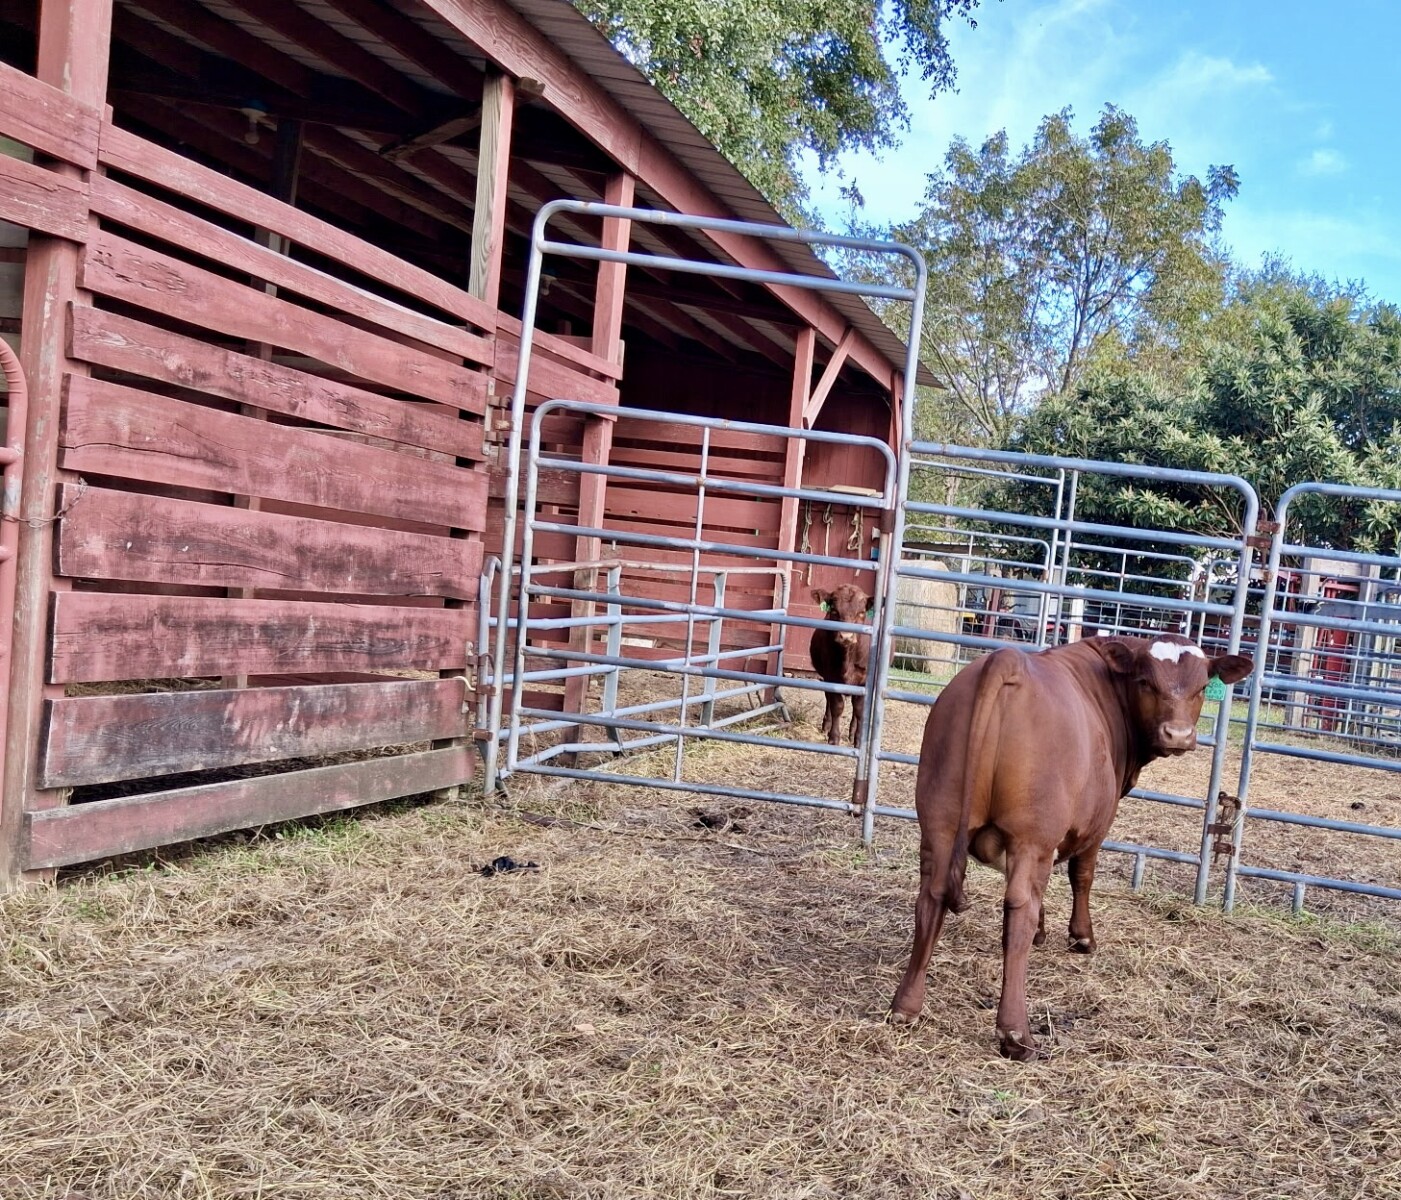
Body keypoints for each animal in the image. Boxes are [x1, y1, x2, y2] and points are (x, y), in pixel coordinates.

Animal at [808, 583, 874, 746]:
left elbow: (860, 710)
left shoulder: (864, 679)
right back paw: (826, 725)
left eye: (862, 612)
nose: (846, 636)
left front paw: (858, 739)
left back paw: (851, 732)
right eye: (834, 610)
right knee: (828, 699)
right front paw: (833, 737)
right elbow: (837, 706)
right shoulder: (831, 676)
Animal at [888, 632, 1254, 1060]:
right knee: (1019, 908)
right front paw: (1082, 937)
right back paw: (1016, 1034)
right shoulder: (1094, 824)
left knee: (933, 897)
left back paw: (906, 1006)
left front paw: (1045, 932)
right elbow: (1082, 875)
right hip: (1030, 835)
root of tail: (1006, 660)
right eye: (1146, 682)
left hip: (940, 820)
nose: (1177, 735)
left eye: (1201, 688)